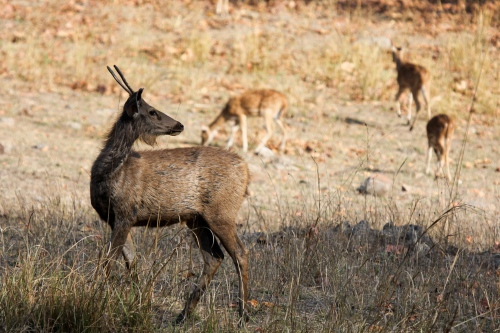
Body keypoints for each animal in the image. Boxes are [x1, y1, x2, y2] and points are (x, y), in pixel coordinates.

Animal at [90, 65, 250, 324]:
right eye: (152, 111)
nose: (179, 125)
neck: (108, 174)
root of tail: (245, 170)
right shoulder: (114, 218)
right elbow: (131, 260)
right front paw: (139, 302)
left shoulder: (126, 212)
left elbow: (109, 260)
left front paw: (93, 297)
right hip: (197, 219)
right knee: (214, 256)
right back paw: (183, 315)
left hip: (222, 212)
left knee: (240, 253)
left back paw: (243, 313)